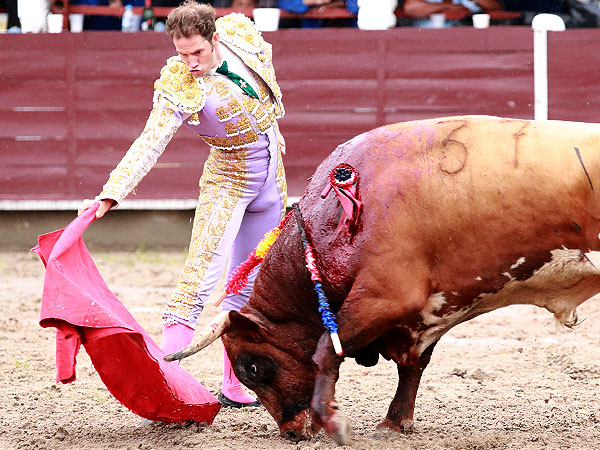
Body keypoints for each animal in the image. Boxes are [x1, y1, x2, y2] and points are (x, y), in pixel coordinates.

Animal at [166, 116, 600, 446]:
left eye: (253, 368)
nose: (292, 432)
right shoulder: (423, 312)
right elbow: (413, 366)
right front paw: (395, 422)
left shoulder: (384, 299)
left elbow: (326, 352)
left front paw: (334, 422)